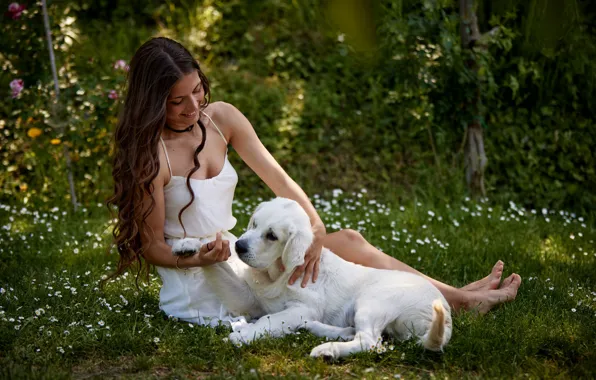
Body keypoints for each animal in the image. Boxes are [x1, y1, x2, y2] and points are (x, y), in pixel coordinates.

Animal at [172, 197, 452, 360]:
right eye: (254, 224)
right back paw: (325, 331)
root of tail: (445, 315)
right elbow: (217, 258)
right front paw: (191, 245)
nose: (240, 246)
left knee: (371, 342)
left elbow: (269, 320)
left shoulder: (300, 307)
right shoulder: (248, 299)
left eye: (272, 236)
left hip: (374, 300)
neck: (277, 274)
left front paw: (243, 335)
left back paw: (328, 350)